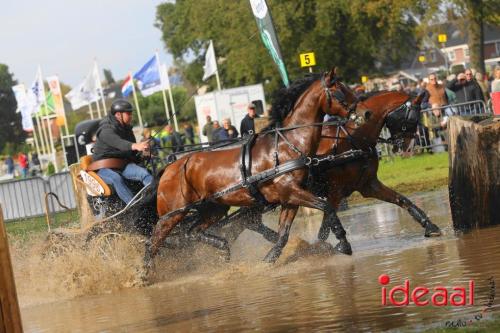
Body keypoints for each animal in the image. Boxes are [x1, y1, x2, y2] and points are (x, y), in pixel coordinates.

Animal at [145, 68, 360, 266]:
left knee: (192, 233)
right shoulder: (292, 192)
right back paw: (146, 274)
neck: (287, 144)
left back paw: (223, 248)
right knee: (153, 243)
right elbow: (327, 206)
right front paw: (344, 244)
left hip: (214, 207)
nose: (362, 112)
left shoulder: (289, 198)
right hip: (173, 214)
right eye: (340, 90)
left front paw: (269, 260)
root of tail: (168, 168)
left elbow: (283, 235)